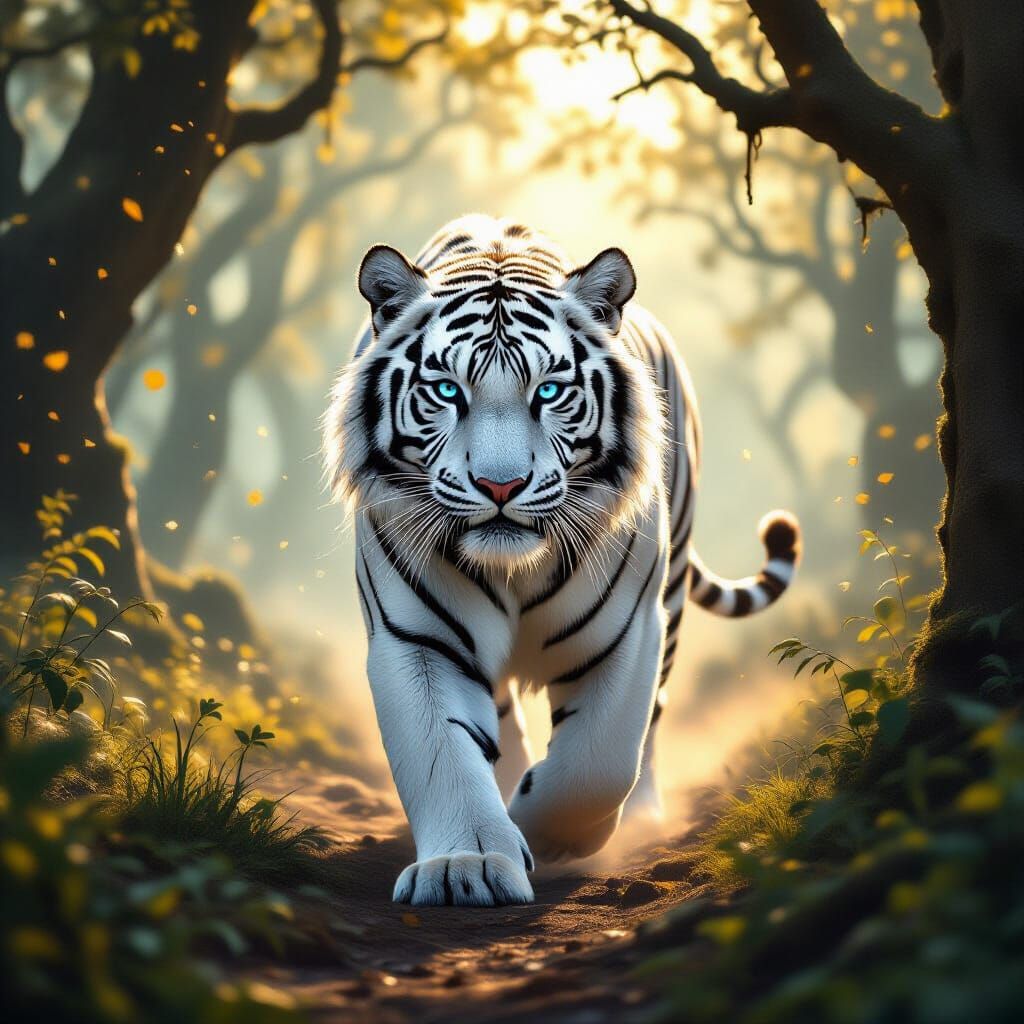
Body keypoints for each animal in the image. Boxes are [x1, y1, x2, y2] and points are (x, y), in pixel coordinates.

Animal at [323, 214, 800, 907]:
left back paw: (640, 816)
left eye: (549, 391)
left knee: (651, 725)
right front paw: (468, 864)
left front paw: (546, 834)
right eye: (446, 390)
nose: (500, 485)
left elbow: (596, 763)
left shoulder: (627, 631)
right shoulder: (417, 639)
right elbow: (444, 753)